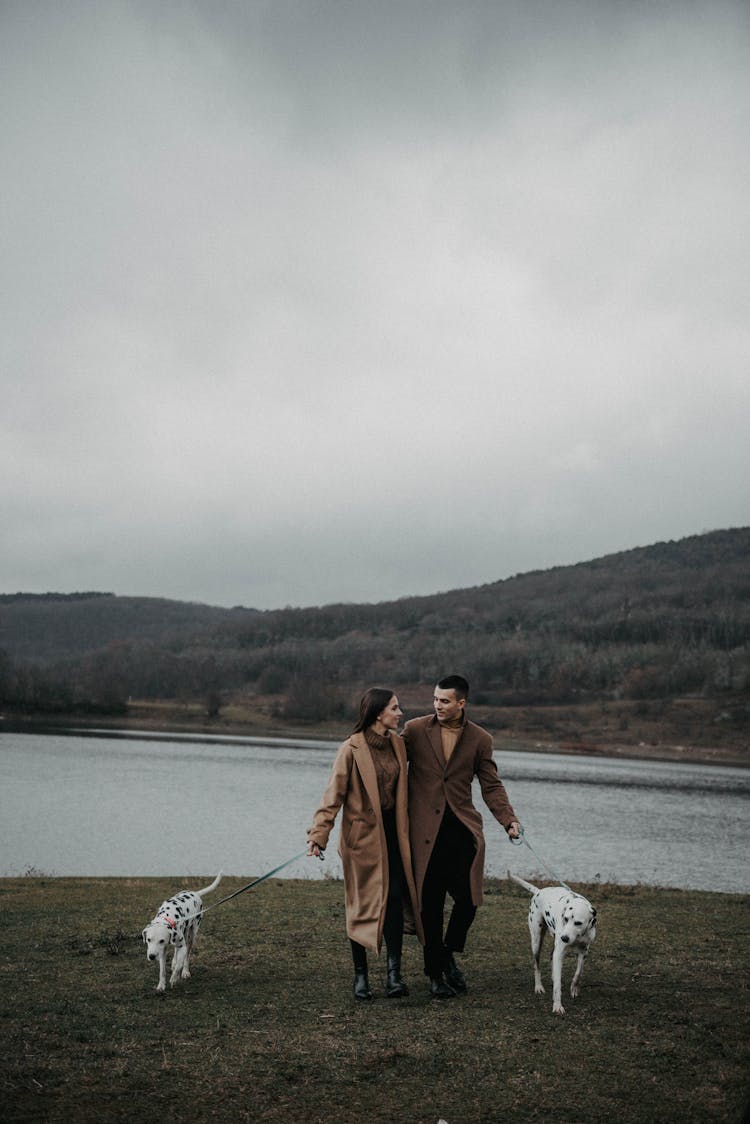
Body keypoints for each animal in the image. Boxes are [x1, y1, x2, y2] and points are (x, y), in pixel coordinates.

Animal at [510, 867, 598, 1020]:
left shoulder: (584, 951)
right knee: (536, 964)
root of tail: (539, 891)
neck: (578, 935)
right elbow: (557, 985)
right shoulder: (560, 952)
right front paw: (557, 1006)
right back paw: (538, 986)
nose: (564, 938)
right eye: (565, 919)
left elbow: (578, 972)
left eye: (578, 923)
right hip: (536, 941)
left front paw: (574, 988)